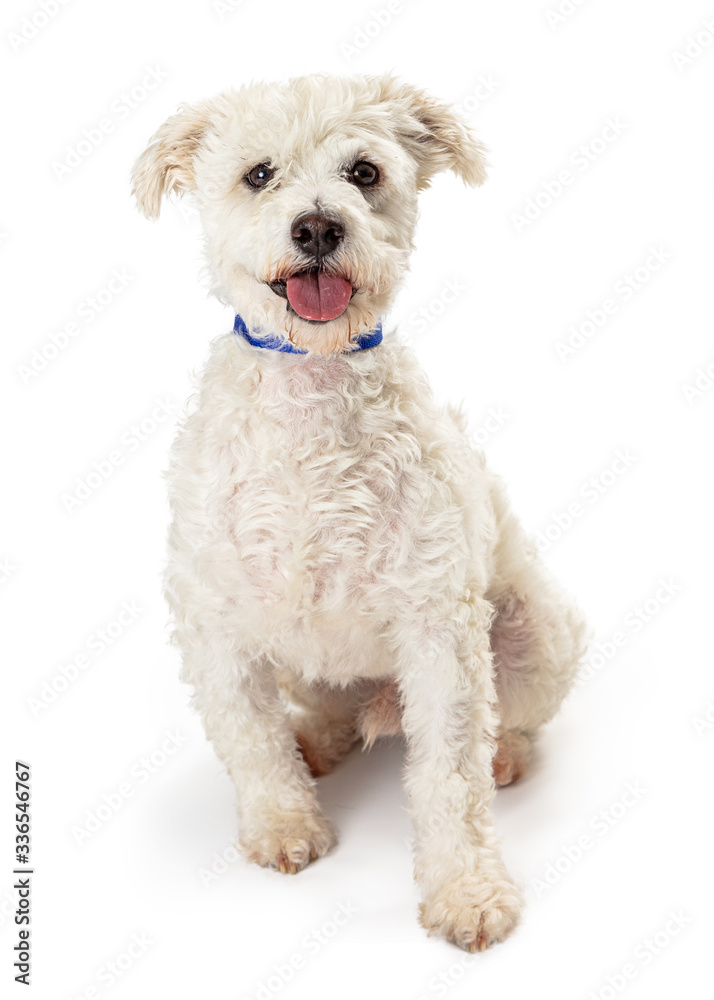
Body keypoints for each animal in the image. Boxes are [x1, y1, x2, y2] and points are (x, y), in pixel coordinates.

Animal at [132, 74, 584, 948]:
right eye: (259, 174)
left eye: (364, 172)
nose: (317, 226)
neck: (312, 390)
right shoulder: (214, 626)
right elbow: (252, 741)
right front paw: (284, 825)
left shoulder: (440, 631)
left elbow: (451, 776)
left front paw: (467, 891)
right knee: (323, 717)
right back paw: (317, 744)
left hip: (535, 632)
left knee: (510, 720)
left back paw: (505, 754)